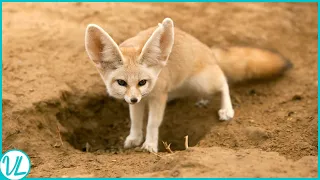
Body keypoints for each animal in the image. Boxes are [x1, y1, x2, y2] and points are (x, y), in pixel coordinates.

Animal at [84, 17, 292, 153]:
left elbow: (152, 123)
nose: (134, 98)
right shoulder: (140, 100)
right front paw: (134, 138)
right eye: (121, 82)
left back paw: (226, 109)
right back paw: (201, 100)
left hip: (203, 82)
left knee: (223, 80)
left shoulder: (158, 96)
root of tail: (208, 50)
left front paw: (150, 145)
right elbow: (135, 120)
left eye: (142, 82)